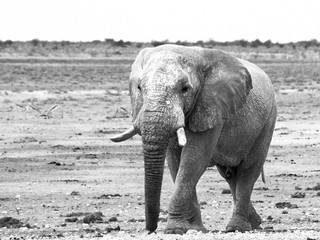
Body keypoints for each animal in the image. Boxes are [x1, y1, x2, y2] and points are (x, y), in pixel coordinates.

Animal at [110, 44, 276, 234]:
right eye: (139, 87)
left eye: (185, 89)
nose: (151, 229)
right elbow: (175, 162)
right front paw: (196, 228)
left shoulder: (212, 106)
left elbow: (193, 159)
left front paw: (174, 230)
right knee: (230, 175)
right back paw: (254, 222)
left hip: (267, 121)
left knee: (247, 171)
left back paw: (237, 228)